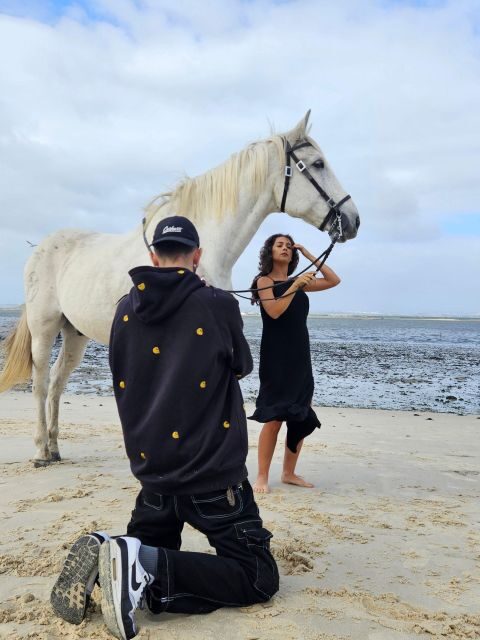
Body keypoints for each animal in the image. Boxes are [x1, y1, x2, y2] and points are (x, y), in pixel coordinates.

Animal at [0, 111, 360, 466]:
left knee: (58, 381)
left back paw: (55, 448)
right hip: (45, 328)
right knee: (41, 382)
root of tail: (41, 247)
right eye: (317, 164)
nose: (352, 220)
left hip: (74, 333)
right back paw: (40, 452)